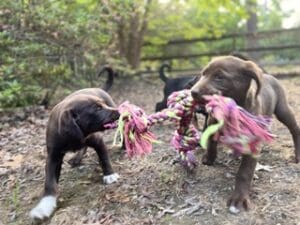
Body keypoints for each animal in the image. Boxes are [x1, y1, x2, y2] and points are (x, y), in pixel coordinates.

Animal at [29, 87, 120, 220]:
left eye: (103, 105)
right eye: (97, 109)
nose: (118, 110)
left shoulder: (97, 140)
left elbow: (104, 158)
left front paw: (109, 175)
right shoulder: (53, 157)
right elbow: (49, 182)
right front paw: (44, 206)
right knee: (84, 147)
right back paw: (77, 158)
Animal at [191, 55, 300, 214]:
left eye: (219, 77)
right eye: (203, 74)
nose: (193, 92)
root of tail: (268, 75)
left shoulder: (252, 144)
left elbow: (244, 172)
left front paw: (239, 198)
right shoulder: (212, 121)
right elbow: (211, 142)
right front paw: (208, 158)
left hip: (283, 110)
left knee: (295, 129)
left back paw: (297, 154)